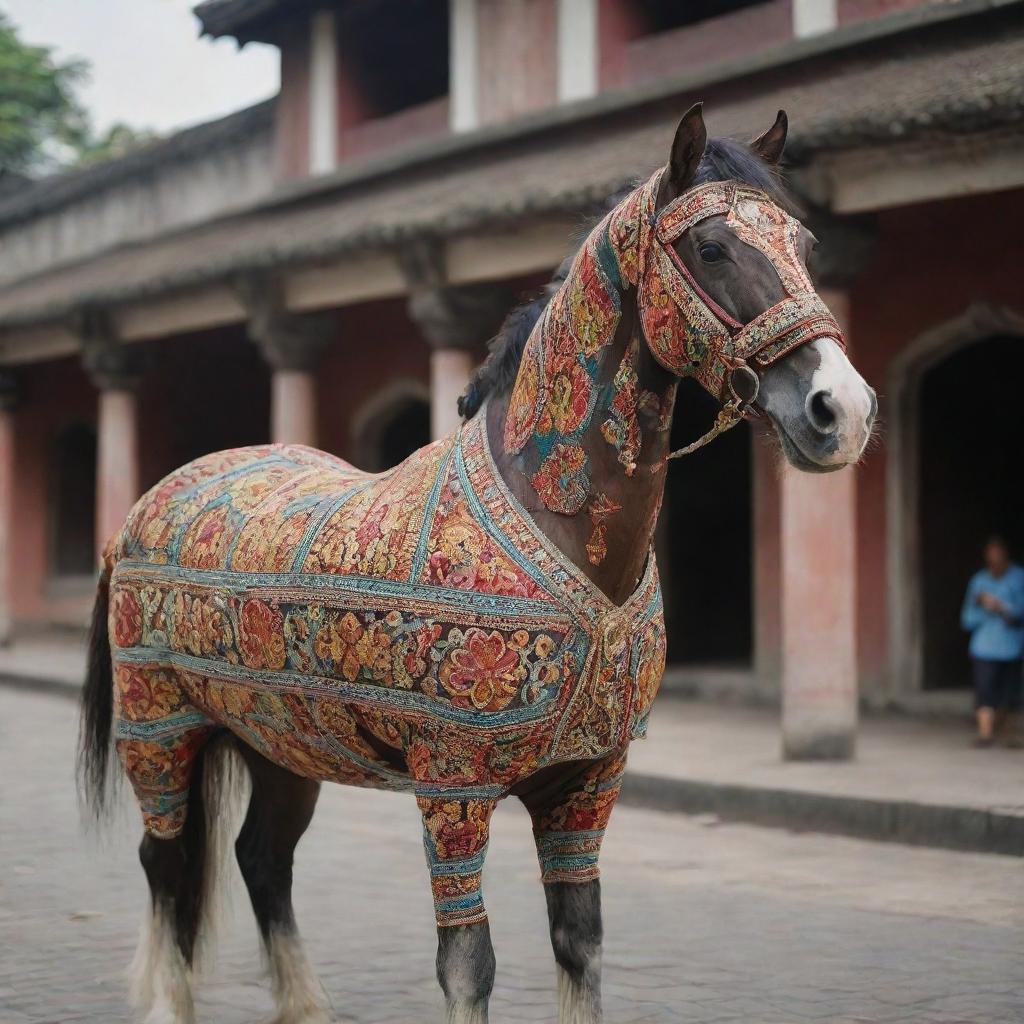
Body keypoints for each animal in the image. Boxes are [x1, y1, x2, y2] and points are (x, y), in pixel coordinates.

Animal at [79, 105, 876, 1024]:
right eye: (711, 248)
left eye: (805, 245)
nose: (841, 411)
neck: (551, 522)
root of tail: (145, 507)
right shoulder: (452, 784)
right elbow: (469, 963)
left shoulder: (590, 782)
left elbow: (581, 944)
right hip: (160, 728)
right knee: (168, 865)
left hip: (281, 736)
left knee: (261, 859)